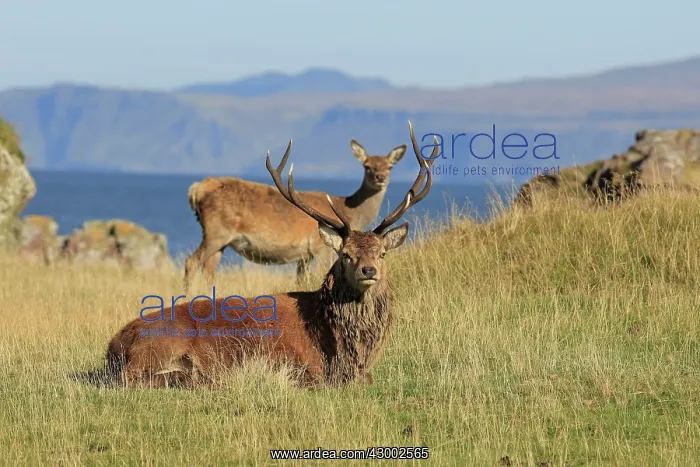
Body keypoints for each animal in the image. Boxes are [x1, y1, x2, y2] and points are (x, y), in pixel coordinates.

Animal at [183, 137, 409, 295]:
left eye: (390, 166)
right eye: (367, 166)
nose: (380, 177)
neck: (350, 210)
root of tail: (196, 190)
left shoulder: (303, 256)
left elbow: (300, 281)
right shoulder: (319, 249)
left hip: (222, 241)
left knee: (209, 269)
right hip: (216, 232)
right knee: (191, 262)